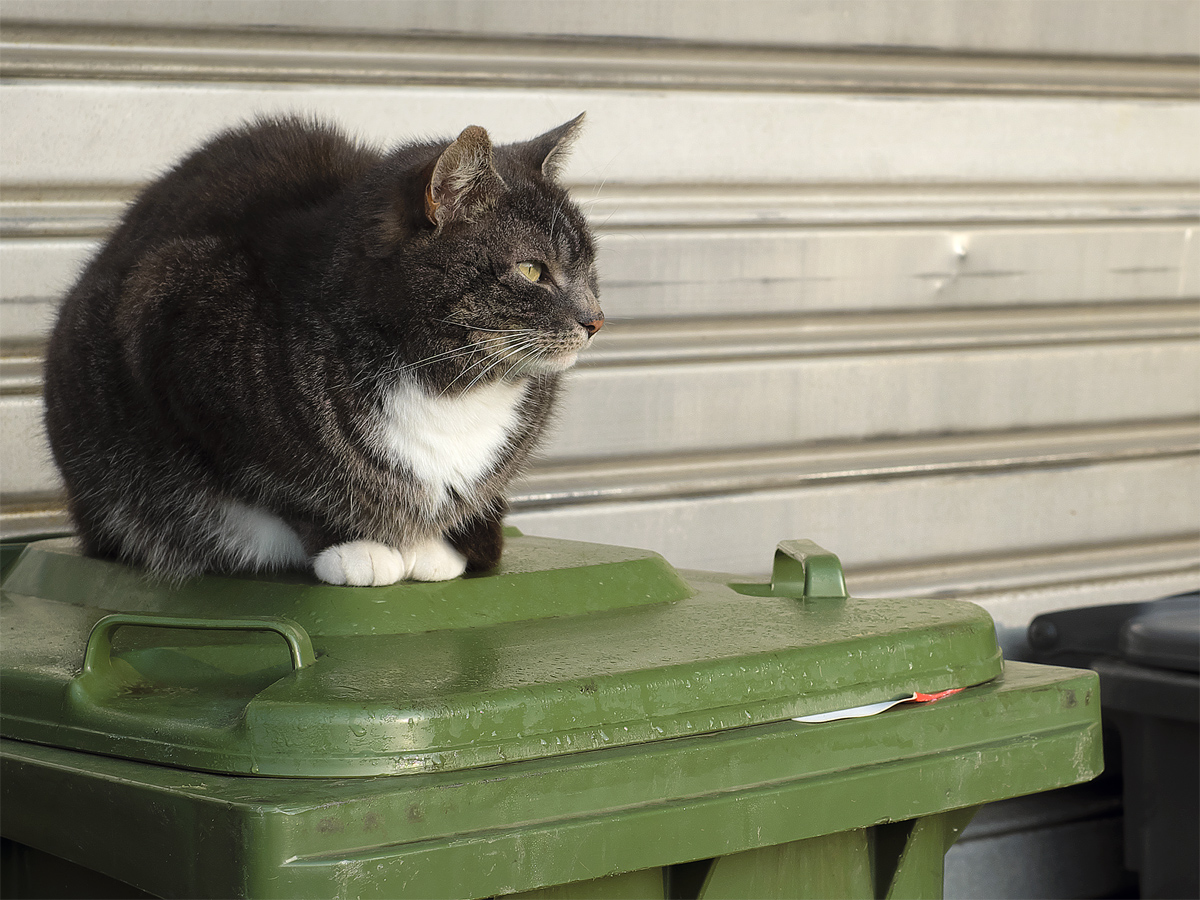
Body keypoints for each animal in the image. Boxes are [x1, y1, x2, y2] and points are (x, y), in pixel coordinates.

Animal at [42, 112, 604, 588]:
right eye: (532, 271)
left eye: (589, 269)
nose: (596, 319)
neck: (452, 387)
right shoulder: (171, 333)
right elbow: (285, 487)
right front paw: (356, 547)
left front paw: (430, 545)